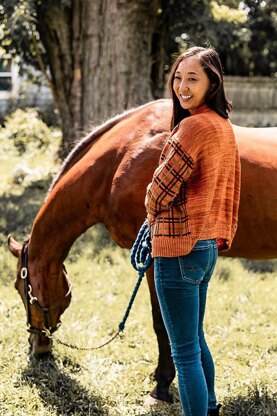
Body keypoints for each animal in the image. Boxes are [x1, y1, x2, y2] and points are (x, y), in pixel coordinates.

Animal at [7, 100, 276, 404]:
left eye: (20, 288)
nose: (36, 346)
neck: (121, 156)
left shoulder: (156, 262)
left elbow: (162, 323)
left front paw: (162, 385)